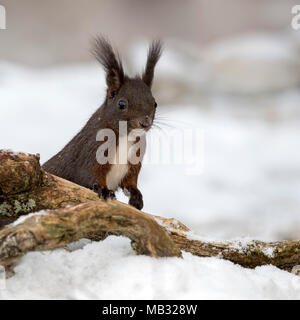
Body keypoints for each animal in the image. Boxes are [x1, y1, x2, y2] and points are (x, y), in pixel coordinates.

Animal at [42, 36, 162, 210]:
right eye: (121, 104)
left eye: (155, 103)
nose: (145, 122)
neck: (126, 136)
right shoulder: (92, 151)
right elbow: (88, 174)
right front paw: (103, 190)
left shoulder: (134, 162)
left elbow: (130, 182)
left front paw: (136, 196)